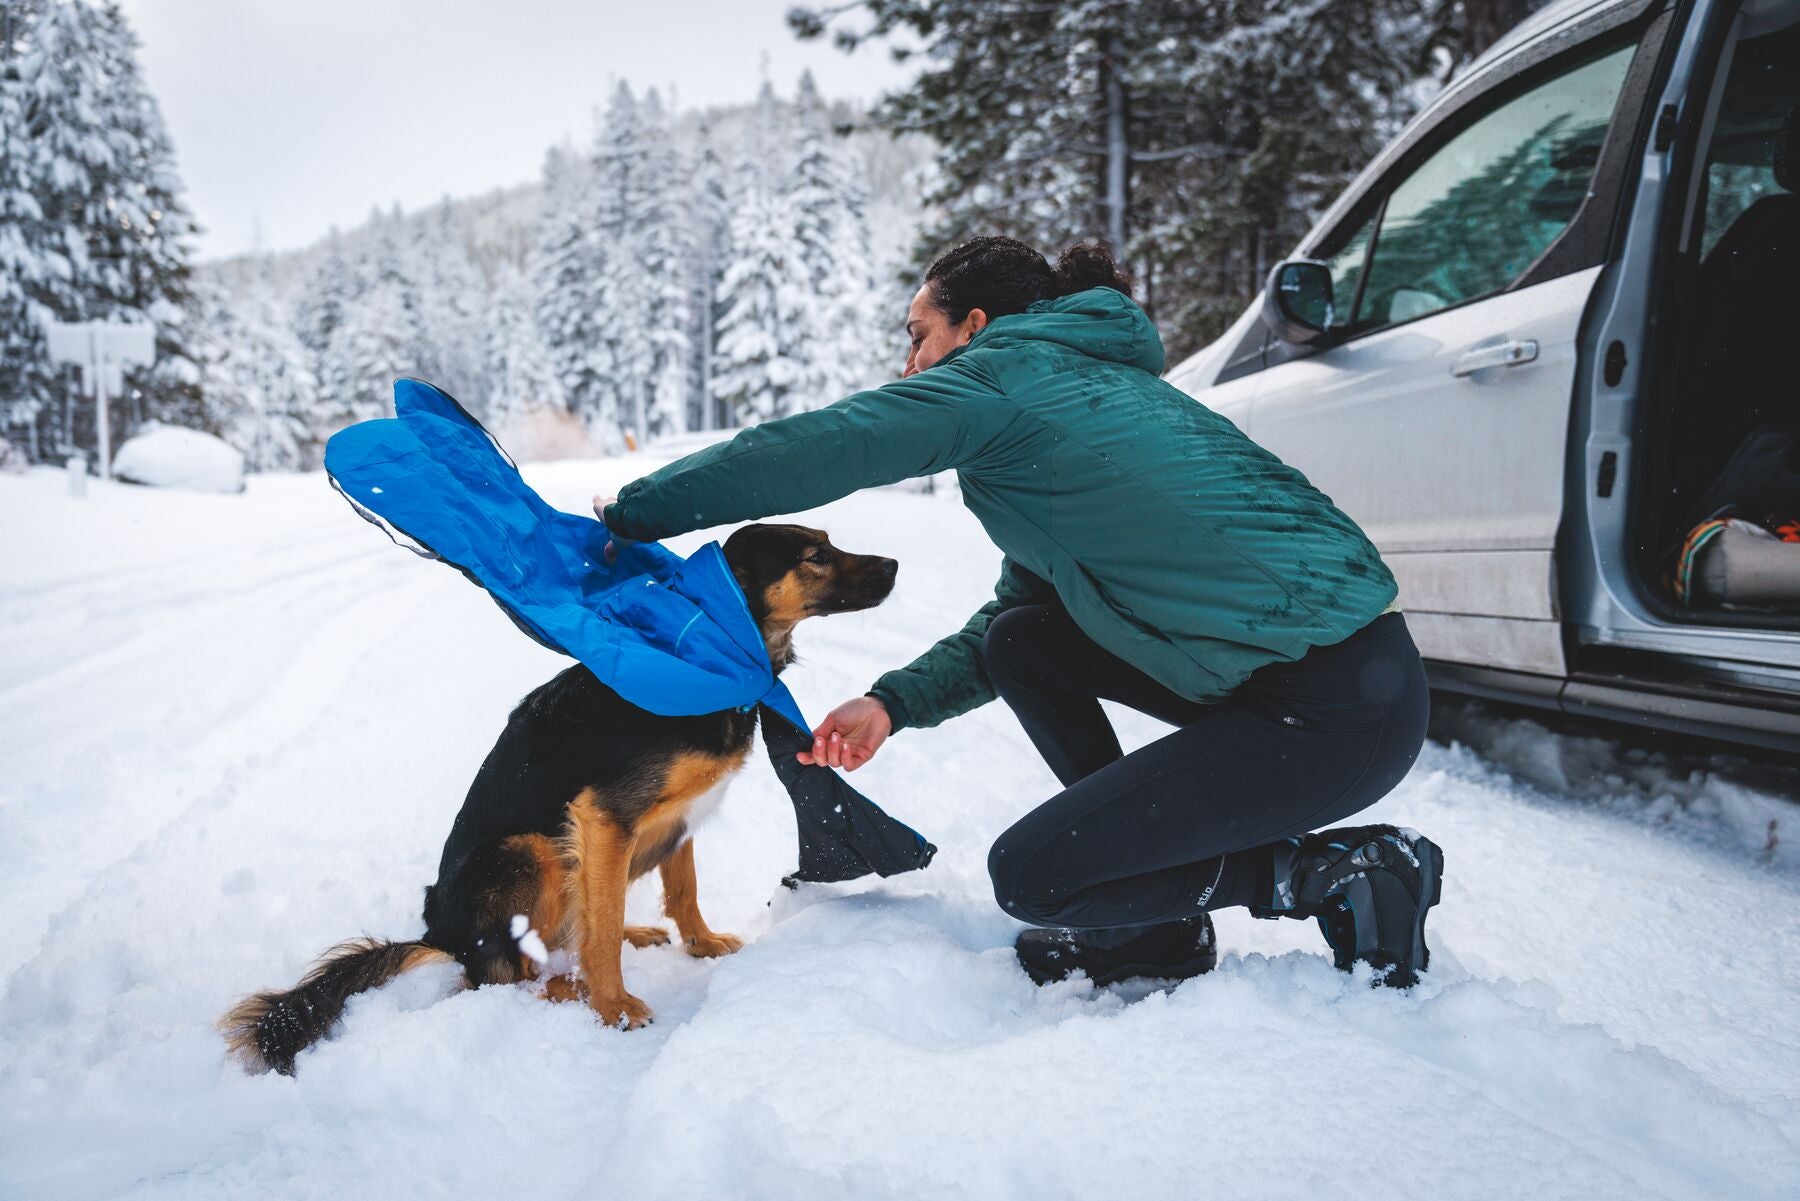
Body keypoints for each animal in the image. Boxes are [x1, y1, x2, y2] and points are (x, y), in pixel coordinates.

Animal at [225, 522, 900, 1073]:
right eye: (816, 556)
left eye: (828, 542)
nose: (895, 564)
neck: (707, 663)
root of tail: (440, 932)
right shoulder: (605, 814)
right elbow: (598, 937)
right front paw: (613, 1007)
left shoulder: (672, 818)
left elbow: (681, 890)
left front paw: (701, 944)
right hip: (532, 851)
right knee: (506, 976)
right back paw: (565, 988)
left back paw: (631, 936)